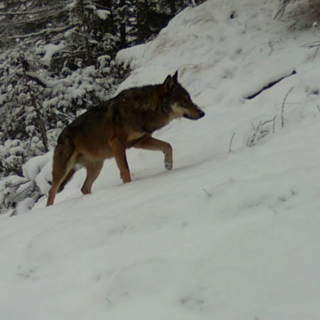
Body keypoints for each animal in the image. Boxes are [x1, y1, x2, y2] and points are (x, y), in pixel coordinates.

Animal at [46, 70, 206, 206]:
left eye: (190, 98)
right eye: (184, 100)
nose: (202, 113)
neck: (142, 110)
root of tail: (59, 137)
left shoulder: (141, 141)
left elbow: (168, 145)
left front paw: (168, 165)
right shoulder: (117, 144)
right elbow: (125, 169)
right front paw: (129, 187)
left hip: (96, 167)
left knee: (84, 188)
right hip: (63, 171)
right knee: (51, 192)